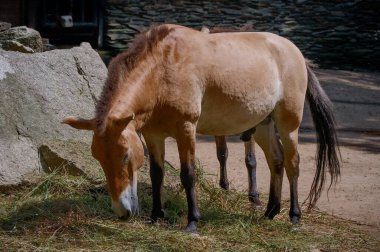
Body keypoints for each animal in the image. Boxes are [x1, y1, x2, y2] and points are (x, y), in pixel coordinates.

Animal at [63, 23, 340, 232]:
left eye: (125, 155)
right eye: (98, 157)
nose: (122, 212)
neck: (163, 68)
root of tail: (296, 53)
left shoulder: (186, 129)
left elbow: (188, 175)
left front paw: (192, 222)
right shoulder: (153, 134)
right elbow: (156, 174)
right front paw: (155, 216)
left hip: (288, 124)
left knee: (293, 163)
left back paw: (294, 217)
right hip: (263, 125)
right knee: (277, 161)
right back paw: (270, 212)